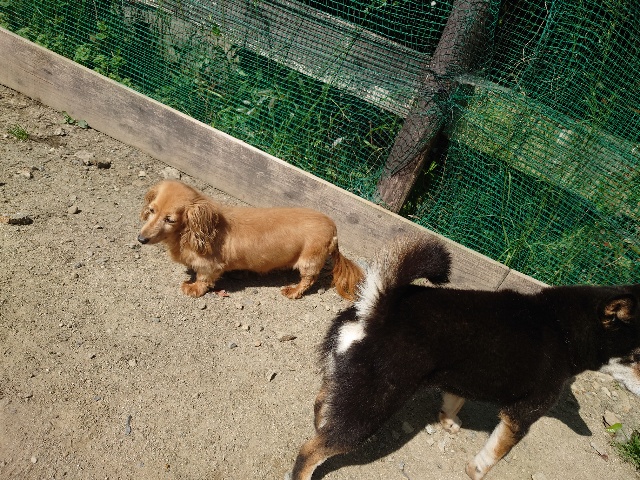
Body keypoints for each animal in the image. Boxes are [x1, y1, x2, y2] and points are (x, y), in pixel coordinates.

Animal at [138, 180, 363, 299]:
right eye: (152, 210)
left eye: (170, 219)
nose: (141, 239)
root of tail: (333, 227)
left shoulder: (210, 267)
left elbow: (203, 279)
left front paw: (193, 288)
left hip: (309, 261)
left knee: (308, 280)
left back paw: (292, 290)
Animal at [287, 235, 640, 480]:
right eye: (637, 357)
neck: (561, 328)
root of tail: (375, 310)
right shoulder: (522, 413)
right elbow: (495, 452)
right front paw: (477, 470)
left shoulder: (460, 376)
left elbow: (453, 401)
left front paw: (448, 422)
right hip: (369, 410)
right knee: (310, 451)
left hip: (348, 385)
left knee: (323, 405)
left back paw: (322, 419)